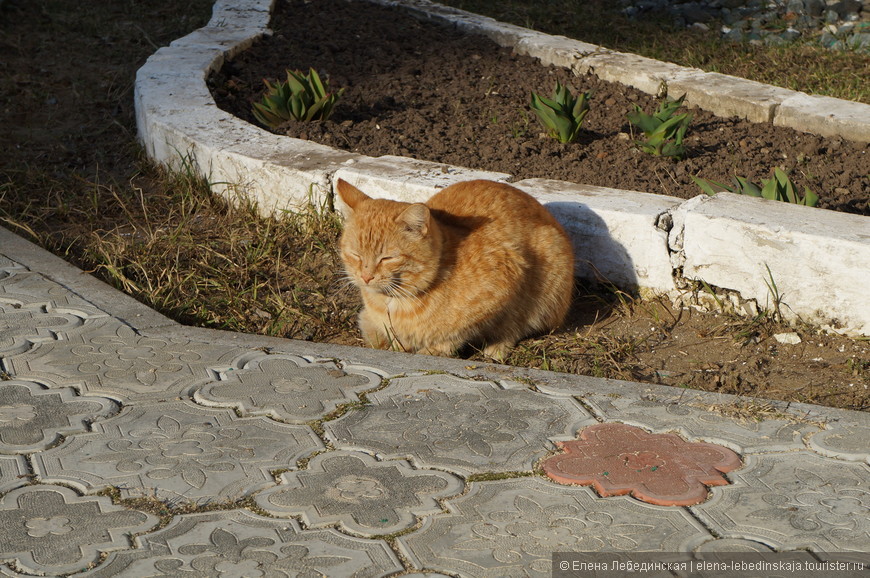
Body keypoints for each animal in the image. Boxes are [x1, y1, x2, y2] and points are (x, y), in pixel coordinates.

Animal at [338, 178, 576, 358]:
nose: (366, 276)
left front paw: (435, 348)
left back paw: (497, 347)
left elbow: (458, 333)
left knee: (519, 324)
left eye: (387, 258)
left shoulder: (507, 276)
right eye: (355, 255)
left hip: (549, 272)